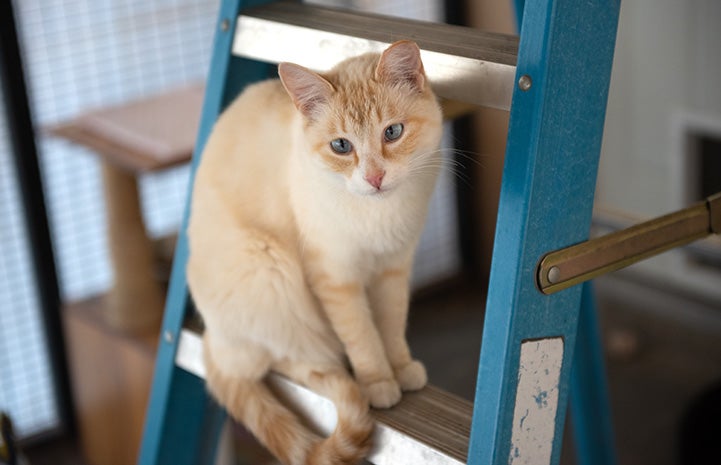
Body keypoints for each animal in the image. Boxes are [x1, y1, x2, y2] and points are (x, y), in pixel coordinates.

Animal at [184, 40, 444, 464]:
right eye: (341, 146)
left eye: (392, 133)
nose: (374, 178)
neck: (377, 213)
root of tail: (212, 341)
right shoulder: (336, 278)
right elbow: (362, 336)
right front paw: (379, 382)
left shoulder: (392, 267)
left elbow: (391, 325)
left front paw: (401, 368)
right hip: (271, 271)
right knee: (287, 361)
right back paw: (337, 374)